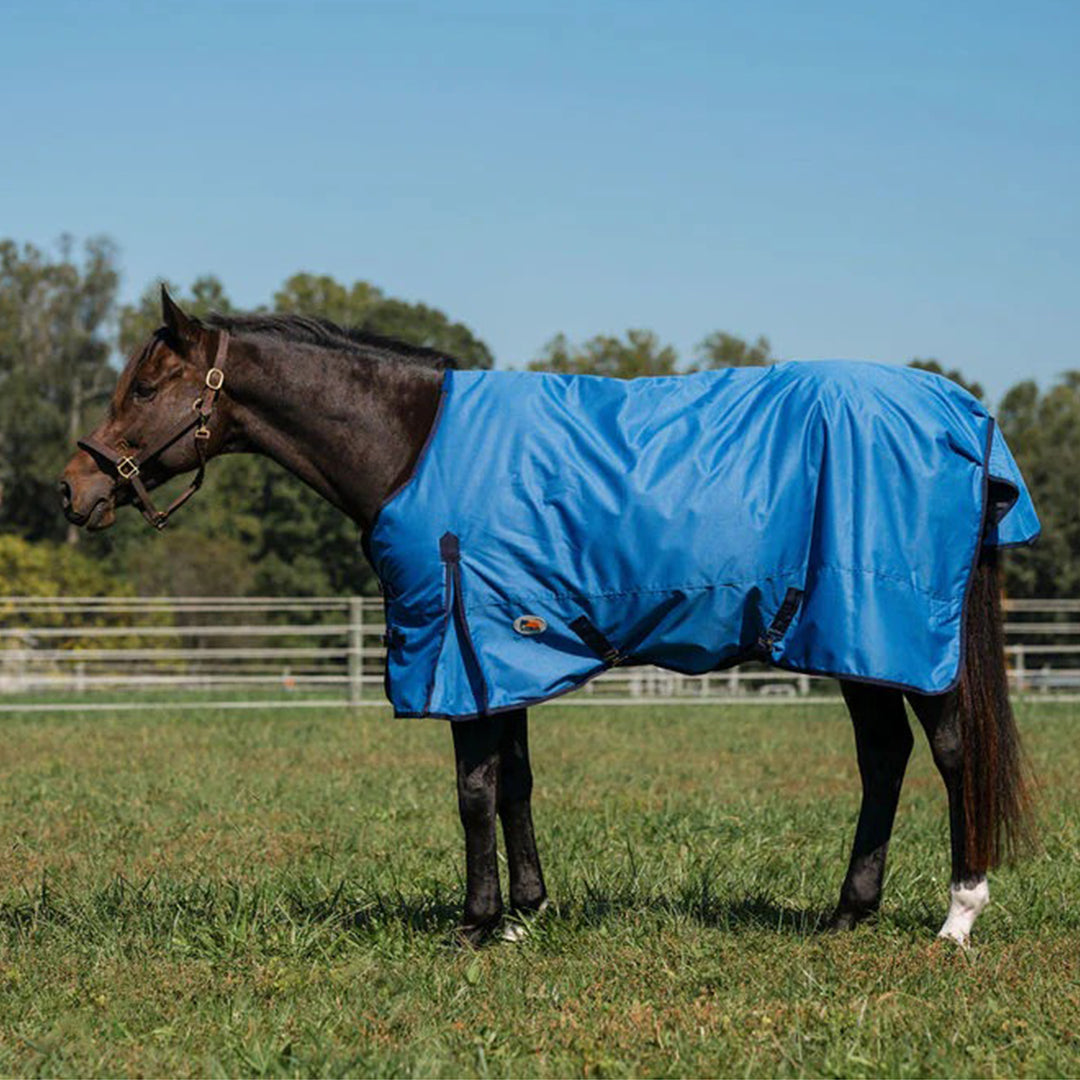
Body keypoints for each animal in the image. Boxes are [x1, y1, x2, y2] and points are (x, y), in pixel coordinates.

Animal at [61, 288, 1035, 947]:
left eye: (145, 387)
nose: (73, 490)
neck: (412, 441)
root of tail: (965, 415)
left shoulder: (462, 642)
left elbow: (474, 789)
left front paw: (474, 924)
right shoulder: (502, 646)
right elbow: (516, 780)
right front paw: (525, 915)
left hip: (891, 630)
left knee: (949, 752)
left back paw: (958, 914)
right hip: (848, 638)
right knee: (885, 757)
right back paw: (847, 912)